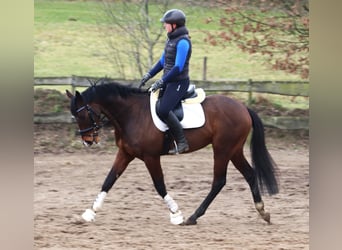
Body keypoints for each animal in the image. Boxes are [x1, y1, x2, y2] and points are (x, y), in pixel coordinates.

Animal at [65, 81, 280, 226]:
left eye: (82, 114)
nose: (87, 141)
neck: (131, 113)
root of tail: (243, 107)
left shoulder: (151, 157)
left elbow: (159, 185)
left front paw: (176, 214)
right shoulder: (125, 154)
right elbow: (108, 181)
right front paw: (89, 212)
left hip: (222, 150)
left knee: (219, 181)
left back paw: (193, 216)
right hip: (233, 150)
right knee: (250, 174)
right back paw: (263, 212)